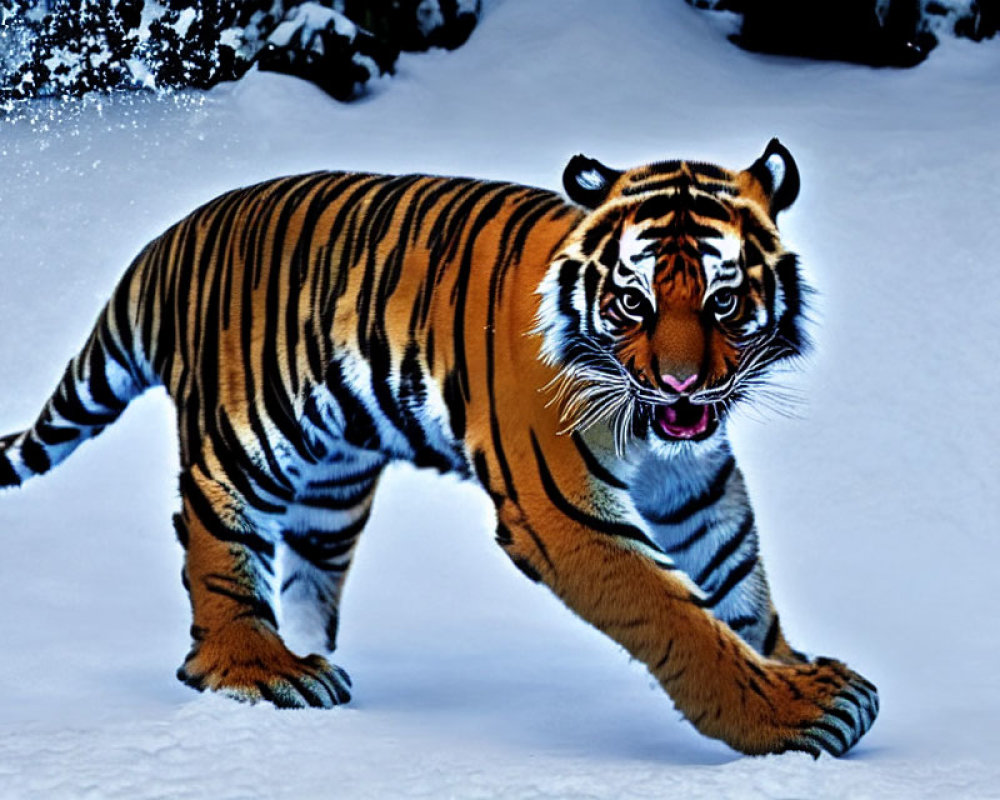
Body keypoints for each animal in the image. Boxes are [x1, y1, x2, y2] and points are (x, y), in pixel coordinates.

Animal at [0, 138, 876, 756]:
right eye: (633, 302)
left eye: (725, 301)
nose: (682, 385)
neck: (652, 434)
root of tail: (175, 234)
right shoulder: (560, 508)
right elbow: (680, 617)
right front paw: (789, 716)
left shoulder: (695, 486)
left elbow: (739, 588)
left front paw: (797, 668)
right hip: (244, 438)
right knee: (216, 551)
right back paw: (261, 670)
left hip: (333, 483)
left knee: (308, 574)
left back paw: (316, 663)